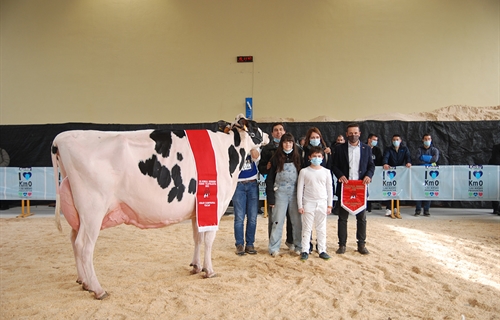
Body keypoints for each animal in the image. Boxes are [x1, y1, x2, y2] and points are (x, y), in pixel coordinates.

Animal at [51, 115, 268, 300]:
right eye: (256, 126)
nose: (267, 136)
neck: (227, 152)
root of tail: (61, 138)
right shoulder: (213, 206)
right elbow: (208, 241)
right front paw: (210, 270)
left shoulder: (197, 211)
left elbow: (197, 238)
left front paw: (196, 266)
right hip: (93, 209)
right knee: (84, 246)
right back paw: (98, 289)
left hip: (79, 212)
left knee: (74, 240)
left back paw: (84, 282)